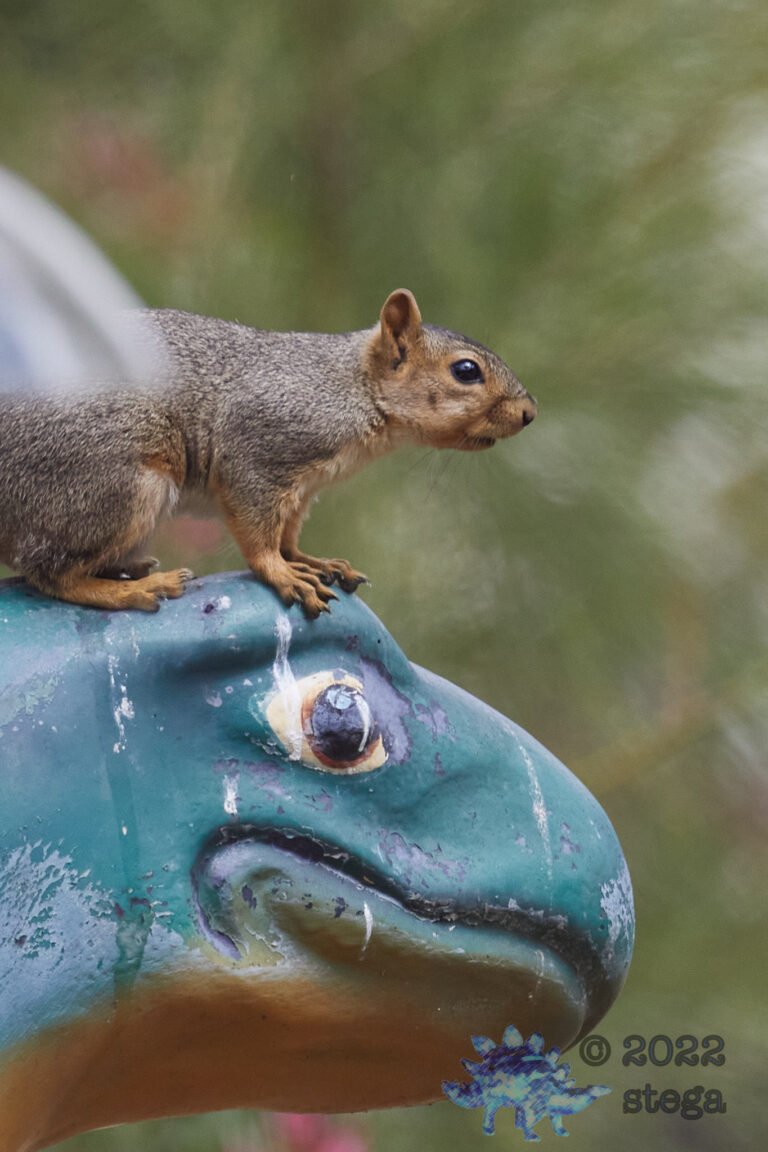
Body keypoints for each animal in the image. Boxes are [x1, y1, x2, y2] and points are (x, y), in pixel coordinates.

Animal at [0, 289, 536, 617]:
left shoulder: (303, 488)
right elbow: (258, 535)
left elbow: (289, 534)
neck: (354, 389)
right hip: (118, 486)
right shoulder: (260, 448)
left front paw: (312, 560)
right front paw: (281, 573)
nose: (529, 412)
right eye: (466, 371)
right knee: (48, 572)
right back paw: (132, 589)